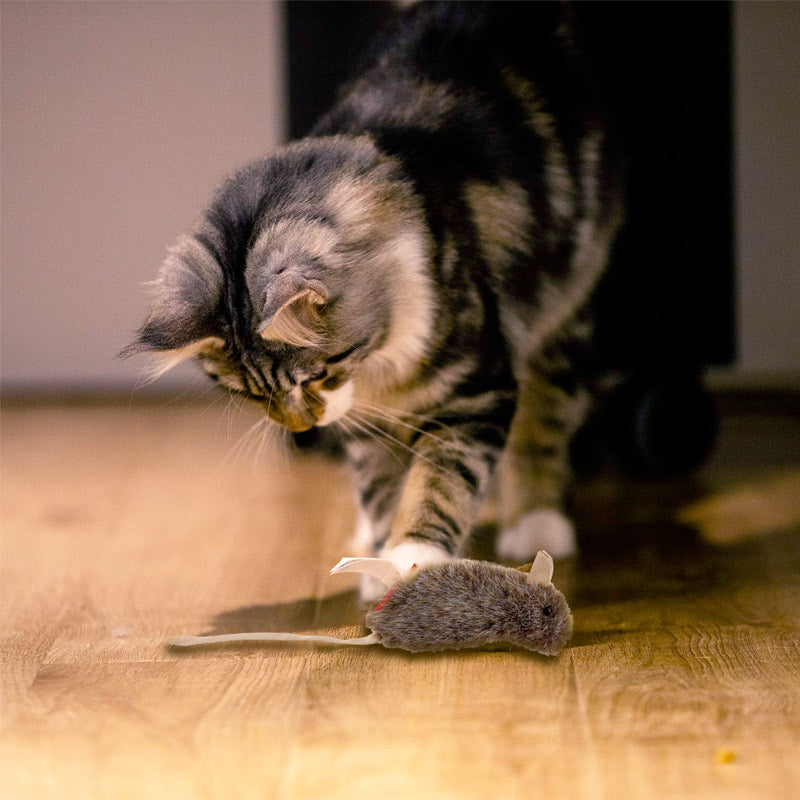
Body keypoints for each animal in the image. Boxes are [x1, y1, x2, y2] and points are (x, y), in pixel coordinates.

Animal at [125, 1, 624, 592]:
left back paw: (538, 522)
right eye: (248, 394)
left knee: (543, 420)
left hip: (563, 310)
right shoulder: (369, 422)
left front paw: (415, 554)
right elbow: (382, 487)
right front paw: (382, 557)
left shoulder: (476, 388)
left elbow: (440, 481)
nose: (301, 427)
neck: (379, 368)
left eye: (315, 376)